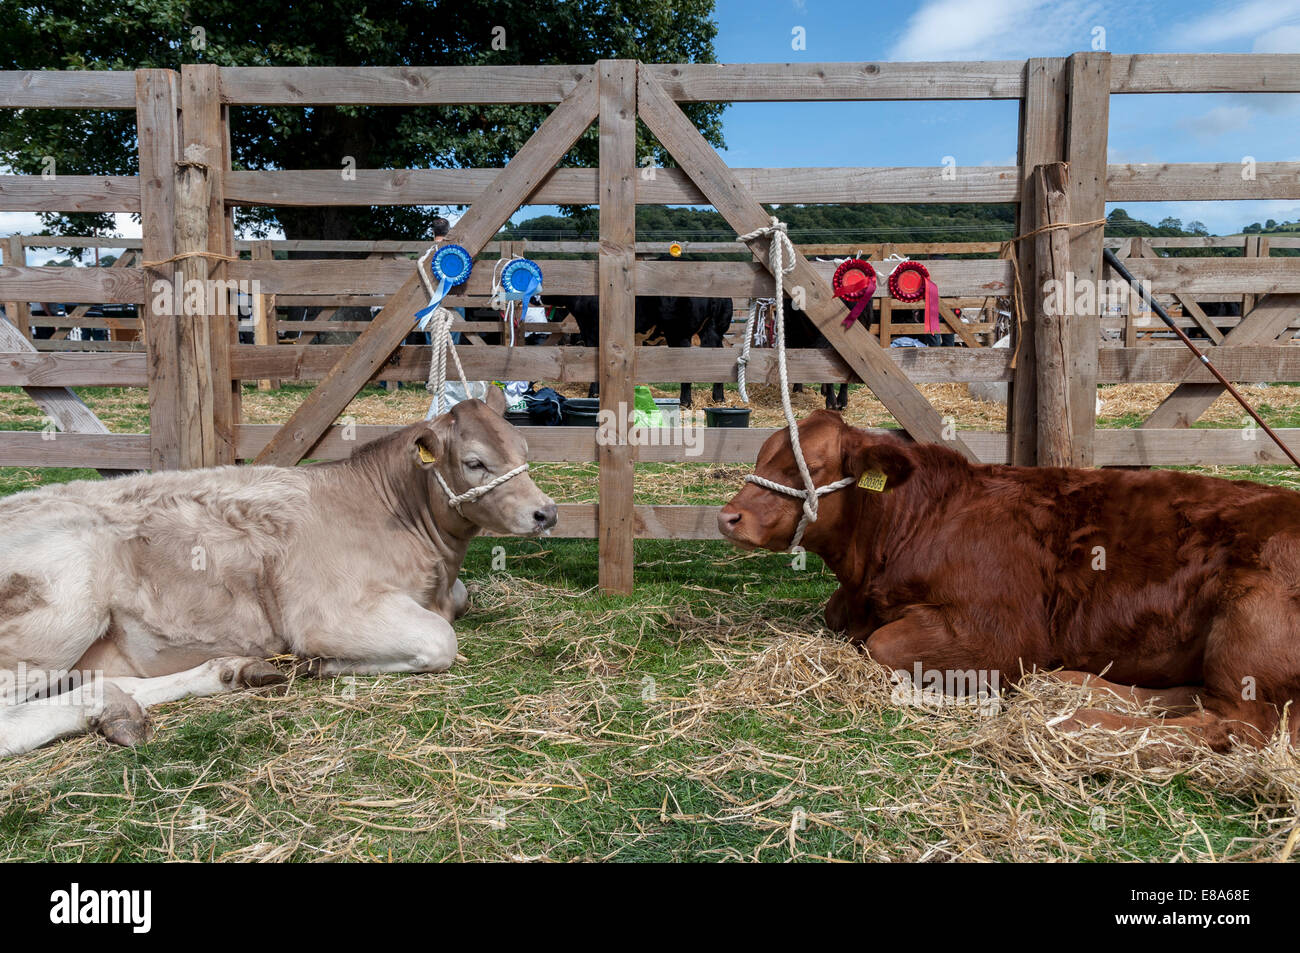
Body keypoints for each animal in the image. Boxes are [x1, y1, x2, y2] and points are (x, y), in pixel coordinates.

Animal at [717, 408, 1300, 748]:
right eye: (763, 453)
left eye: (809, 466)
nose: (728, 517)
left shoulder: (1000, 634)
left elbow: (881, 645)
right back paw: (1075, 687)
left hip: (1247, 621)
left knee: (1240, 723)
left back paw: (1081, 722)